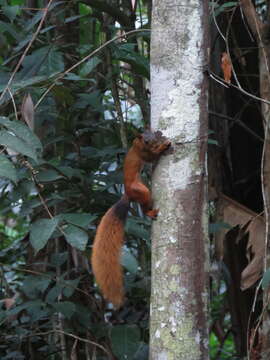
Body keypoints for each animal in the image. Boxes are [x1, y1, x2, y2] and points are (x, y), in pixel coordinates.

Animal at [92, 131, 170, 308]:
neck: (137, 143)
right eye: (146, 141)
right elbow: (152, 157)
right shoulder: (143, 153)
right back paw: (150, 213)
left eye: (151, 136)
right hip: (140, 190)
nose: (152, 142)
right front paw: (163, 146)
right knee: (145, 202)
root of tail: (127, 194)